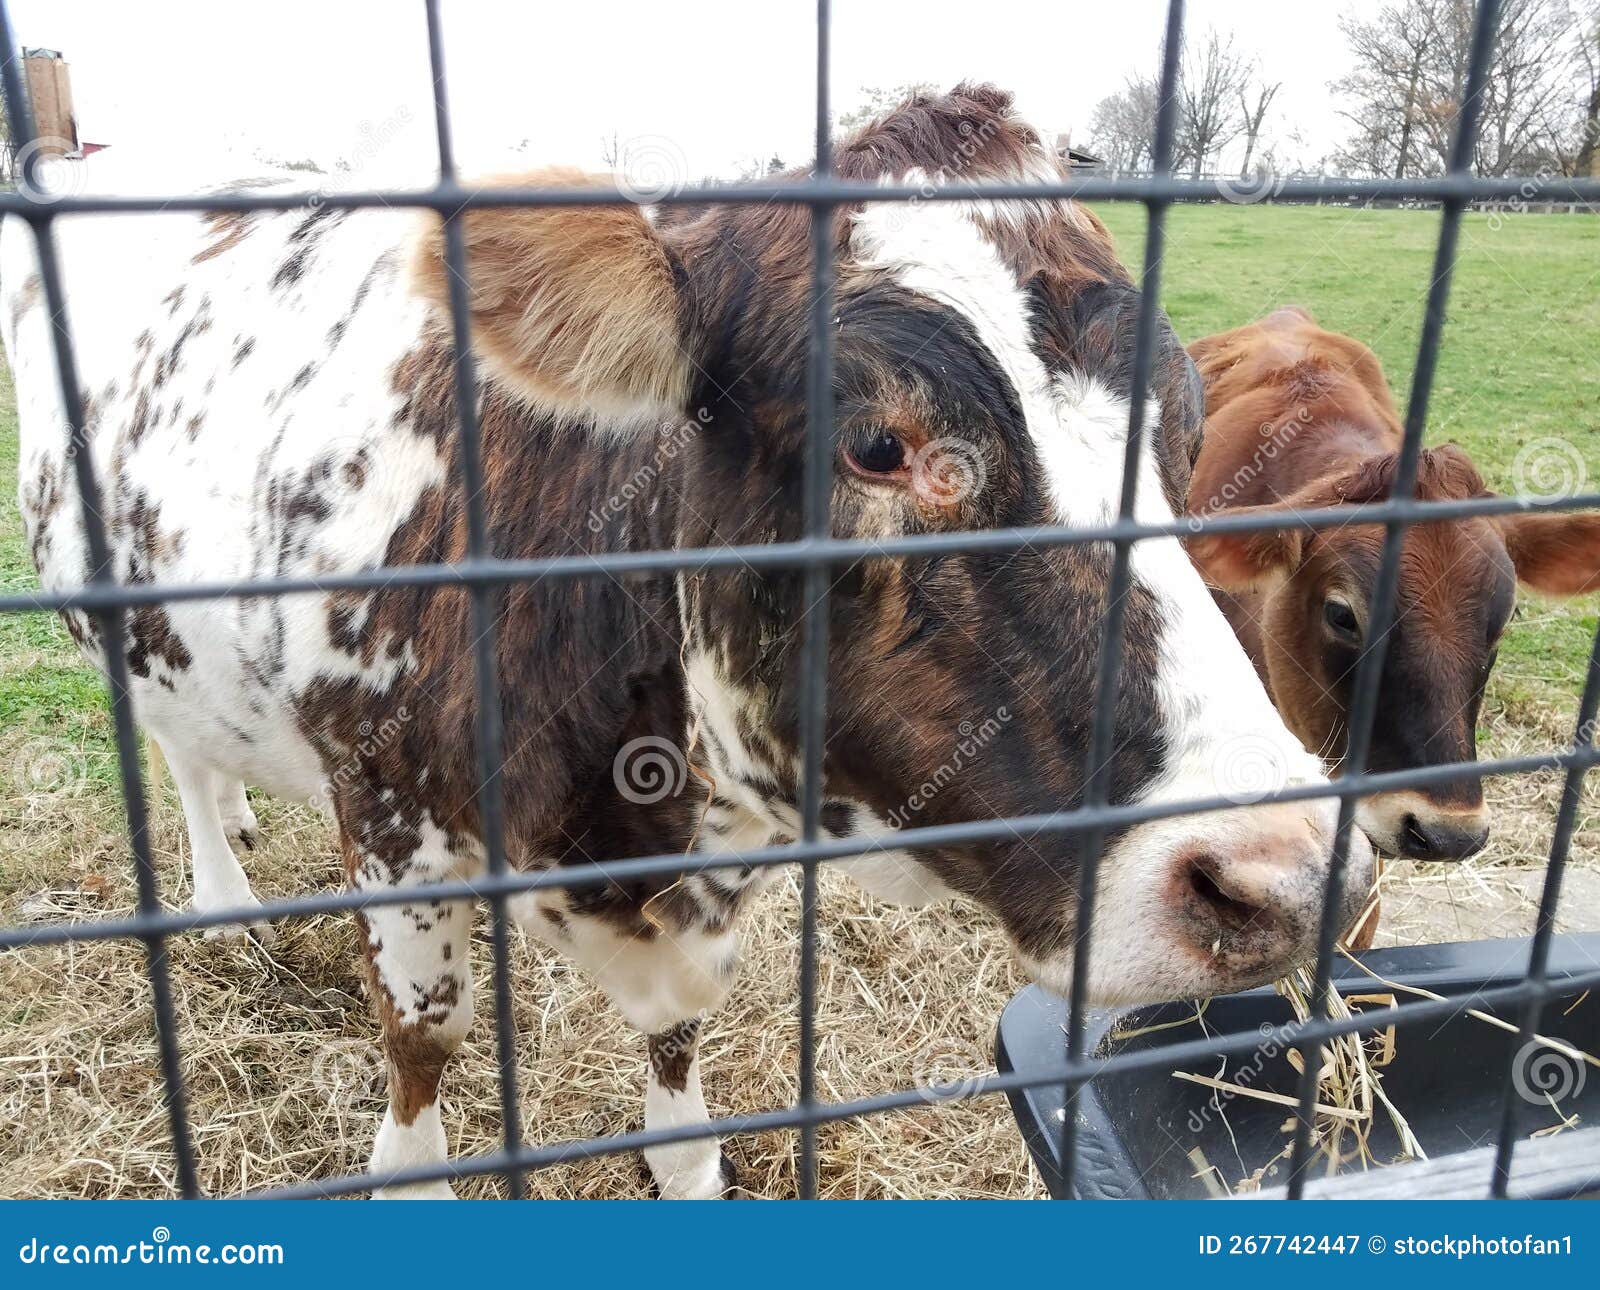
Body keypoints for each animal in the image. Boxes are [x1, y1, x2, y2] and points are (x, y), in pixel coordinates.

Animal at [4, 86, 1372, 1199]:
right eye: (877, 443)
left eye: (1184, 421)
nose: (1284, 877)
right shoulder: (388, 806)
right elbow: (422, 1047)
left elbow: (677, 1058)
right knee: (175, 749)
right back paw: (222, 896)